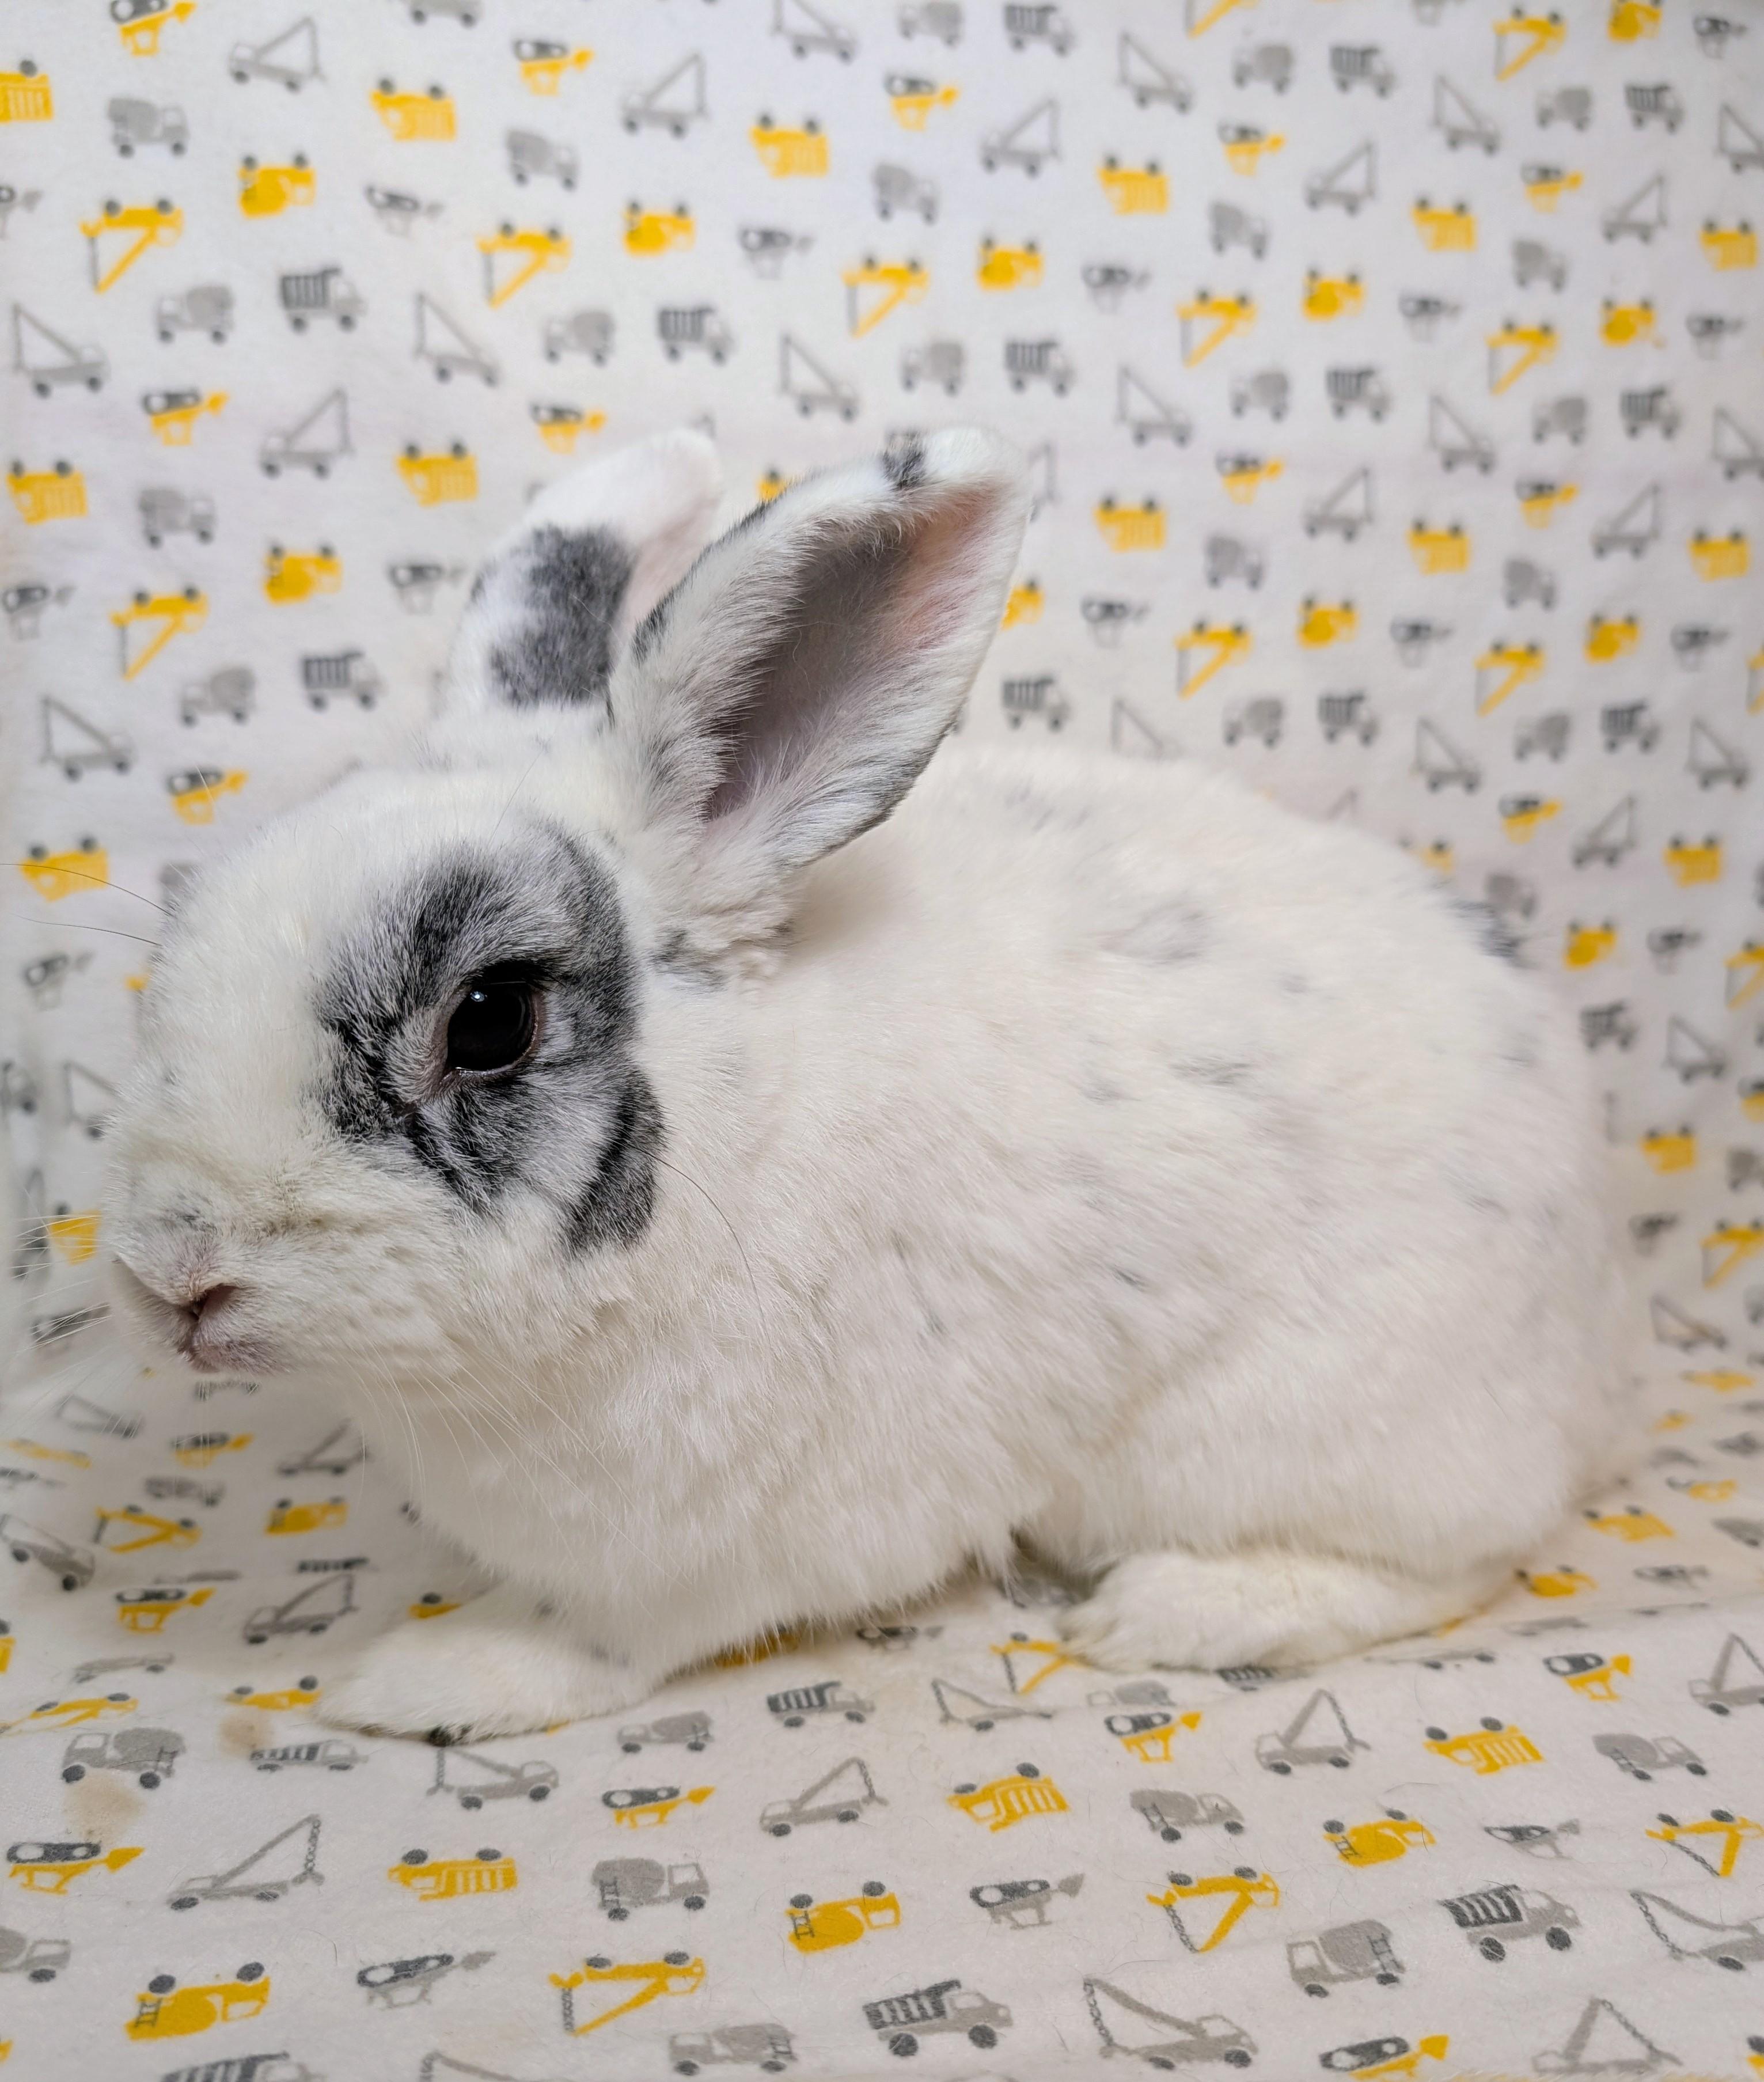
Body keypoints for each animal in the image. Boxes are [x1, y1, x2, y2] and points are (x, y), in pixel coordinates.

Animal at [105, 426, 1636, 1741]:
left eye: (489, 1021)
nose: (172, 1276)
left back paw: (1175, 1611)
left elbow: (597, 1640)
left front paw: (427, 1678)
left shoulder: (700, 1553)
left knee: (1461, 1557)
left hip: (1289, 1431)